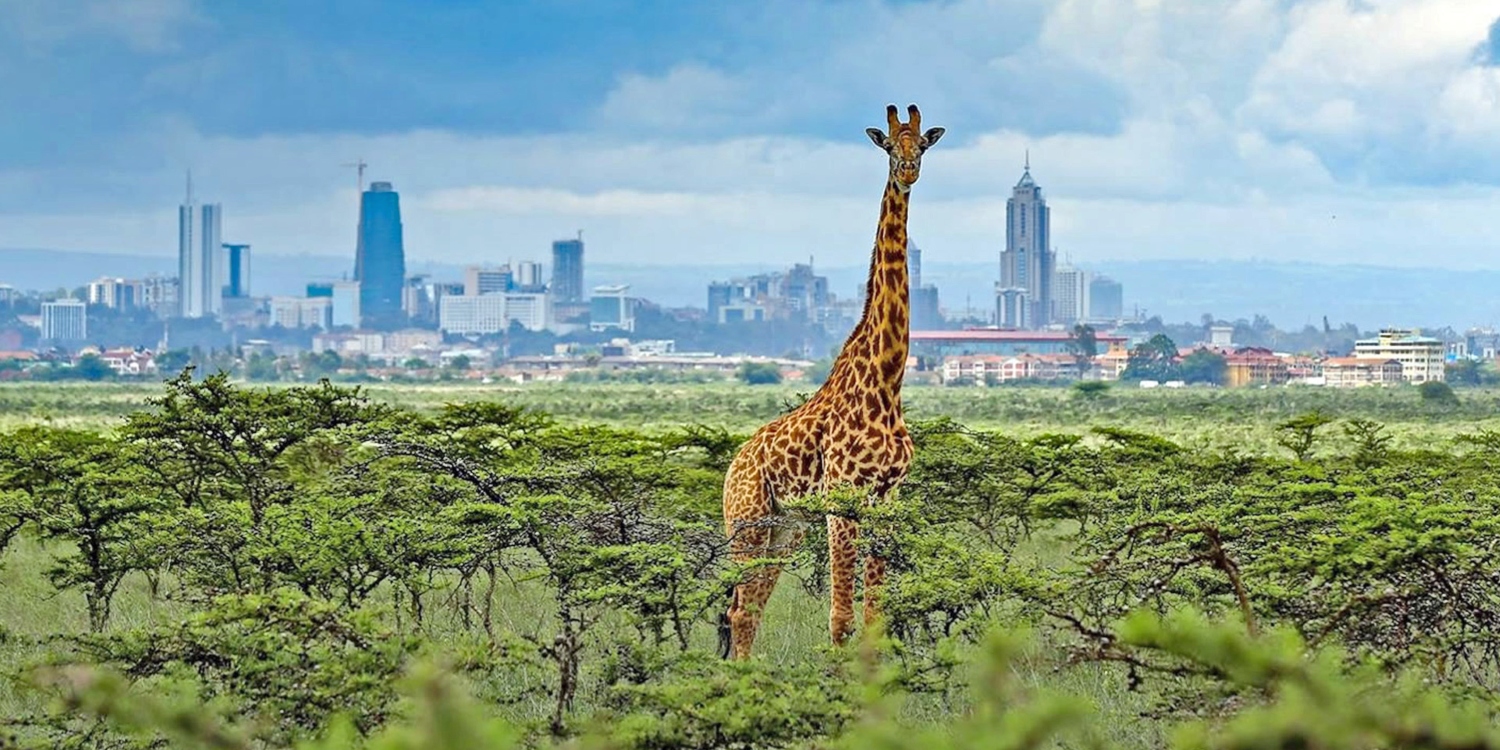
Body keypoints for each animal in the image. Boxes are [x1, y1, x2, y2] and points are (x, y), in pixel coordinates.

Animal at [720, 104, 942, 657]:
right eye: (890, 145)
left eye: (923, 144)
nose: (908, 171)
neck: (886, 380)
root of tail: (732, 467)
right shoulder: (843, 499)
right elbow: (840, 620)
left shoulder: (886, 499)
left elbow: (874, 619)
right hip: (748, 522)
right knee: (737, 609)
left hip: (786, 527)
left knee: (749, 610)